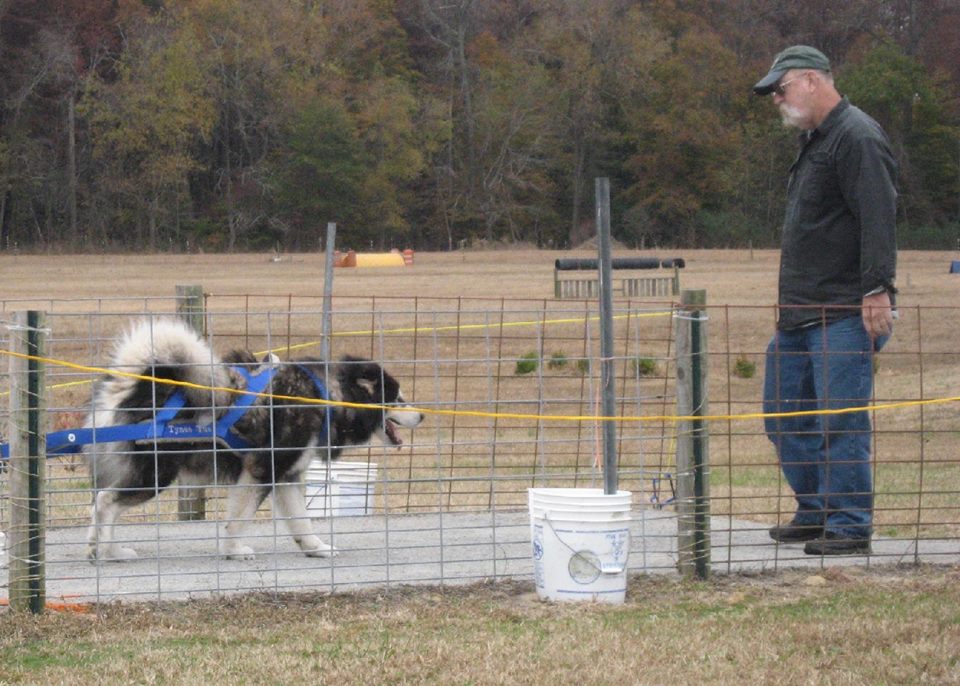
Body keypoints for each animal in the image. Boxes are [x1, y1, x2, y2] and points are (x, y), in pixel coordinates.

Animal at [83, 320, 424, 560]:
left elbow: (301, 520)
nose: (422, 416)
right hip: (157, 473)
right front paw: (234, 551)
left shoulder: (286, 475)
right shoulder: (261, 471)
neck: (324, 395)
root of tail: (140, 387)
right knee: (105, 502)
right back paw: (106, 551)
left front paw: (315, 547)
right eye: (398, 398)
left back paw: (105, 550)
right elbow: (239, 519)